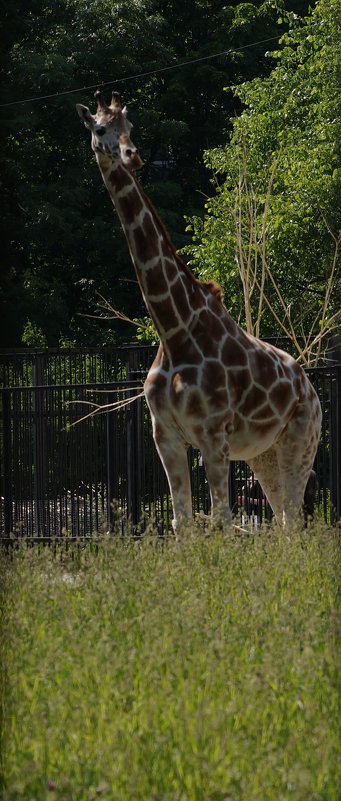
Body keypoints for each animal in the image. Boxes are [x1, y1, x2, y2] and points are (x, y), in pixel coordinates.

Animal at [77, 90, 322, 528]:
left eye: (131, 127)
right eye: (101, 129)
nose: (131, 155)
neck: (173, 329)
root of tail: (311, 390)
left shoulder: (212, 434)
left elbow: (221, 519)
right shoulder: (165, 435)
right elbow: (183, 522)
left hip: (301, 443)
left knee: (294, 523)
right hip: (264, 455)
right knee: (283, 522)